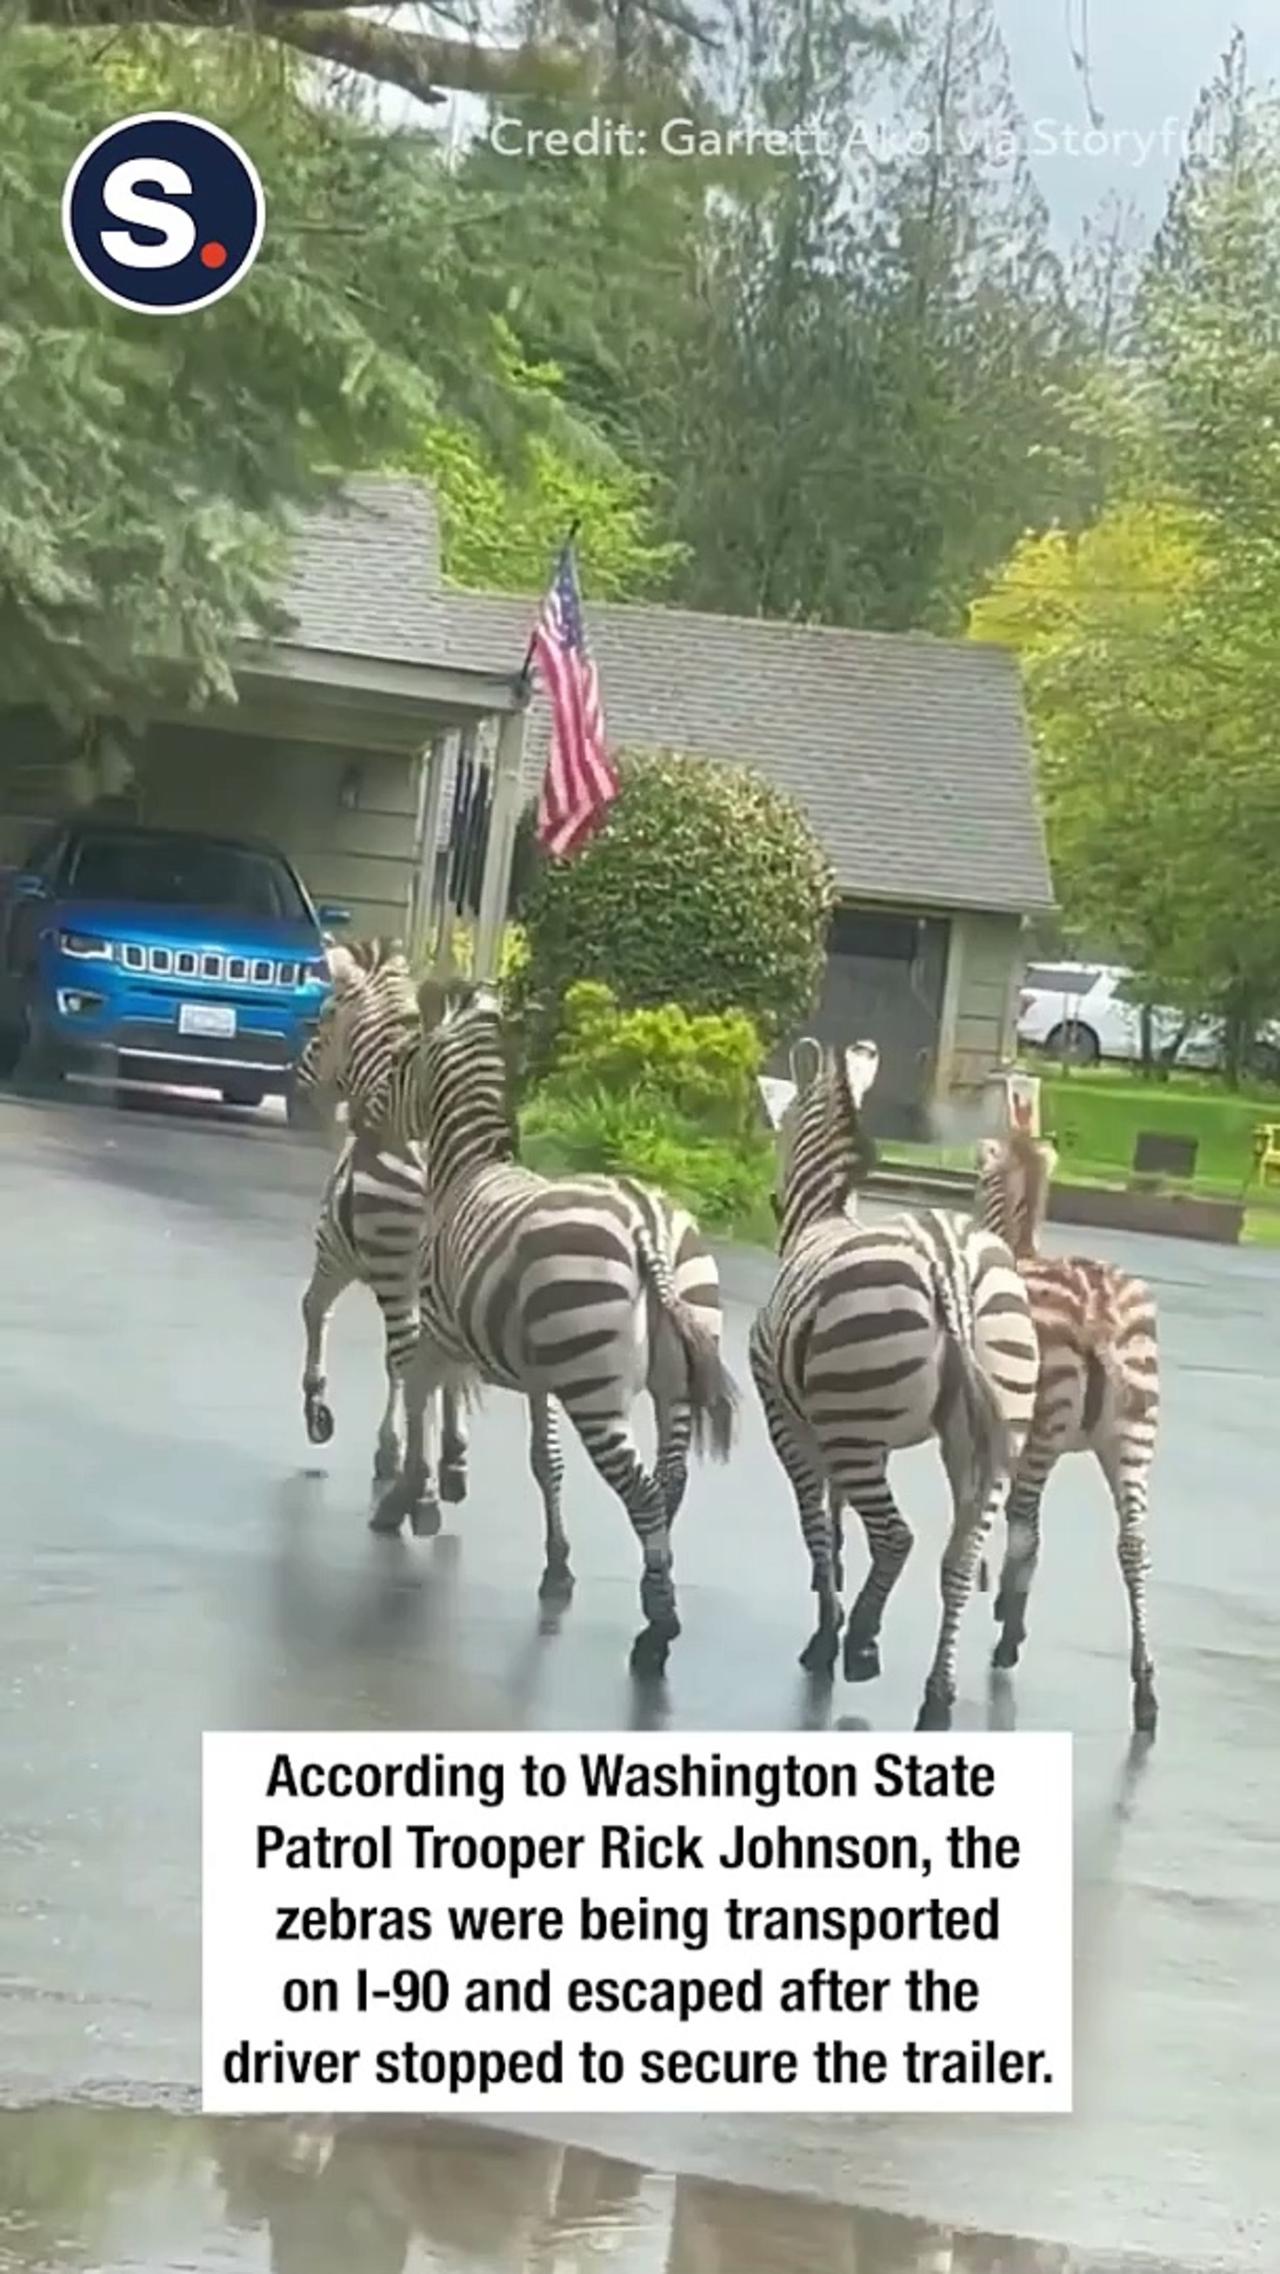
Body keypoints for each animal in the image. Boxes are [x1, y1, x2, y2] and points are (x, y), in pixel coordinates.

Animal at [293, 936, 468, 1509]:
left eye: (325, 1015)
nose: (301, 1083)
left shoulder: (334, 1253)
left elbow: (313, 1310)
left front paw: (321, 1412)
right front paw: (448, 1452)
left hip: (385, 1269)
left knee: (403, 1356)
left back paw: (412, 1474)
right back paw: (443, 1466)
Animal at [368, 986, 741, 1682]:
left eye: (404, 1059)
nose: (363, 1118)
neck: (467, 1169)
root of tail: (646, 1218)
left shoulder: (439, 1333)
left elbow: (418, 1403)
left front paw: (404, 1503)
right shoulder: (539, 1376)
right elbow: (547, 1463)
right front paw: (558, 1567)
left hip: (594, 1386)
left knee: (642, 1492)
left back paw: (657, 1632)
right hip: (673, 1376)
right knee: (670, 1485)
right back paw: (657, 1590)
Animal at [750, 1041, 1041, 1728]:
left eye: (780, 1125)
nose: (769, 1196)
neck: (822, 1218)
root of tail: (951, 1265)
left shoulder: (791, 1422)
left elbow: (817, 1525)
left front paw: (824, 1637)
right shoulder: (845, 1430)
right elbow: (835, 1521)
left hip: (860, 1426)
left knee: (897, 1537)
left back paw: (858, 1646)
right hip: (987, 1430)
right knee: (959, 1557)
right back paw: (937, 1696)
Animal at [977, 1127, 1164, 1728]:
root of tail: (1100, 1313)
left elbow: (1017, 1528)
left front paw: (1004, 1611)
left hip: (1049, 1427)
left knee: (1027, 1527)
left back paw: (1007, 1644)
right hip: (1133, 1434)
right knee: (1133, 1544)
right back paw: (1145, 1689)